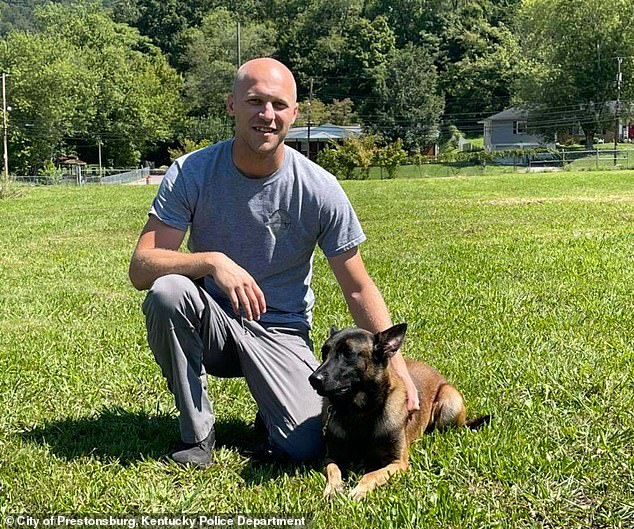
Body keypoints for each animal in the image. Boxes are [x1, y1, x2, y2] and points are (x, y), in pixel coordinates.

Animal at [306, 322, 488, 500]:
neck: (360, 411)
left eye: (348, 353)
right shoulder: (331, 457)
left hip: (450, 401)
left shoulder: (397, 462)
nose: (313, 379)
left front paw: (359, 490)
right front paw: (333, 489)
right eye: (324, 352)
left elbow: (370, 475)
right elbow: (333, 469)